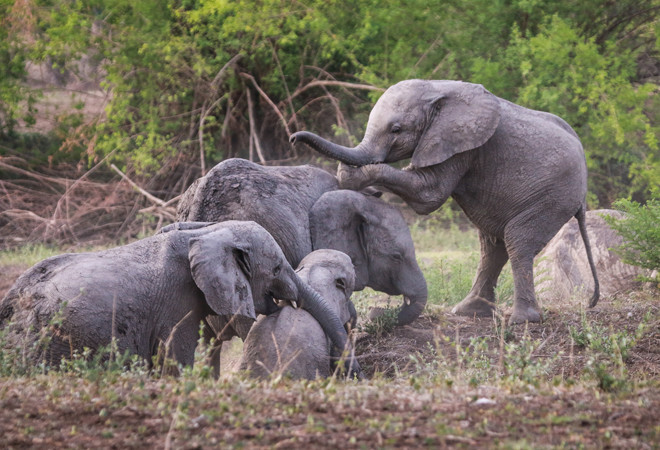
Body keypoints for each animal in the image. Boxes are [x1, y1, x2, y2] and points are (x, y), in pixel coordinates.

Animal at [292, 78, 600, 324]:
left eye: (396, 129)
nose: (294, 138)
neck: (437, 88)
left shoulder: (461, 145)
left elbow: (428, 196)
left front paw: (352, 175)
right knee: (493, 245)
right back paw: (467, 312)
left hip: (555, 195)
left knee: (517, 240)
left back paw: (522, 321)